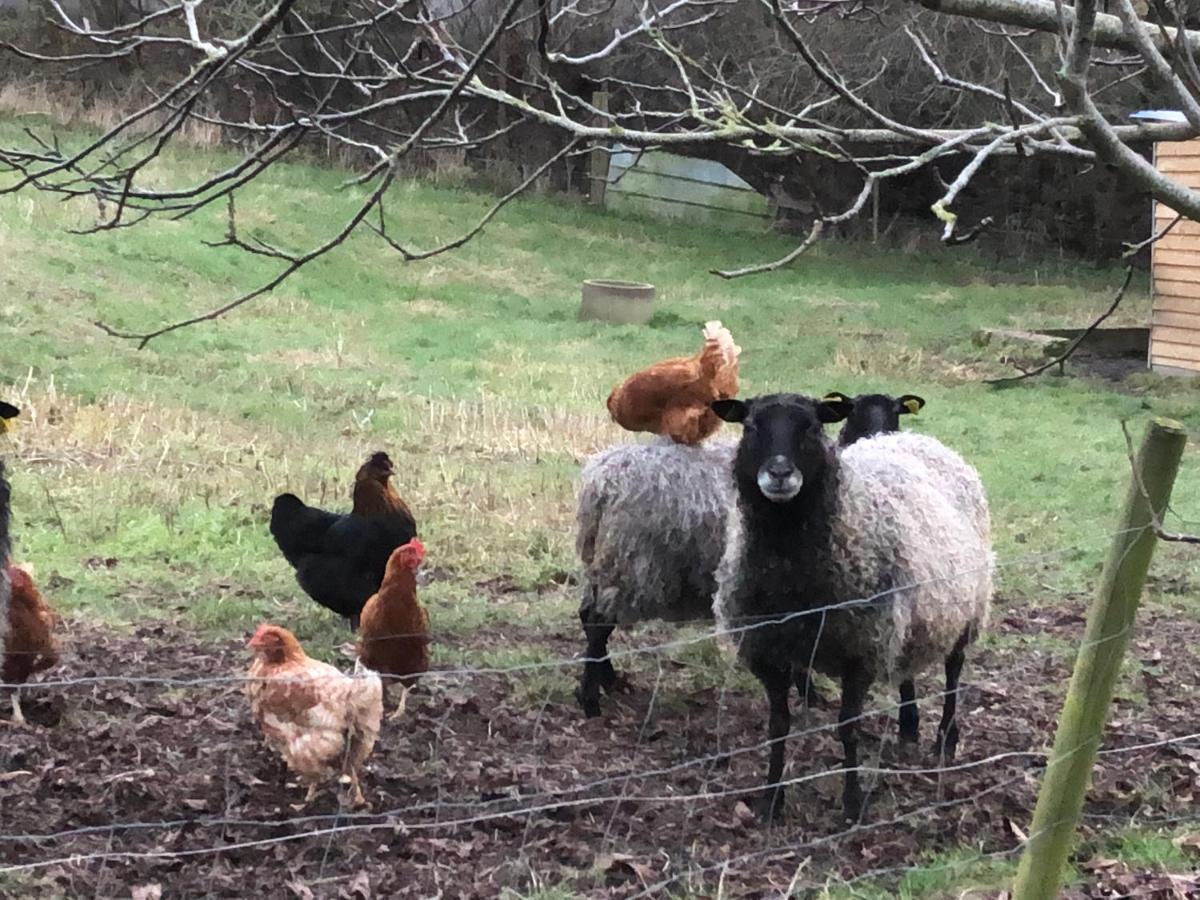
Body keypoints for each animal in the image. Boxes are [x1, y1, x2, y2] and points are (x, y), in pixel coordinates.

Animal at [710, 393, 993, 825]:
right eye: (751, 426)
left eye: (812, 427)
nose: (779, 474)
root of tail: (909, 439)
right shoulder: (768, 650)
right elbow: (778, 725)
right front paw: (770, 799)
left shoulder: (859, 650)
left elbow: (848, 727)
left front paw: (854, 800)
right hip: (908, 616)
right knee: (906, 666)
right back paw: (908, 726)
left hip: (968, 606)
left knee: (953, 672)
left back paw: (946, 738)